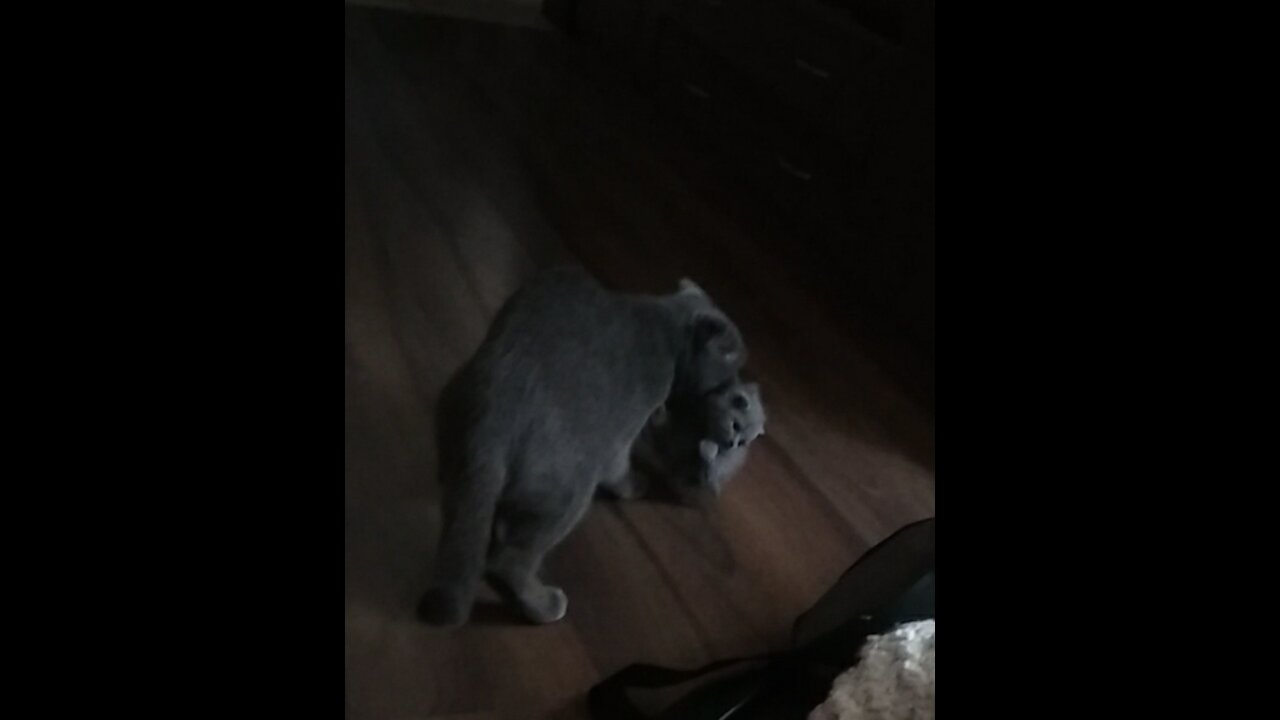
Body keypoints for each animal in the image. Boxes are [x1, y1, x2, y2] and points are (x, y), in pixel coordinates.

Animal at [419, 266, 747, 625]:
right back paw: (544, 605)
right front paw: (634, 485)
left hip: (455, 434)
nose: (736, 389)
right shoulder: (623, 429)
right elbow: (618, 466)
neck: (669, 328)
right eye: (727, 377)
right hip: (567, 491)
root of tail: (488, 425)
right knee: (507, 561)